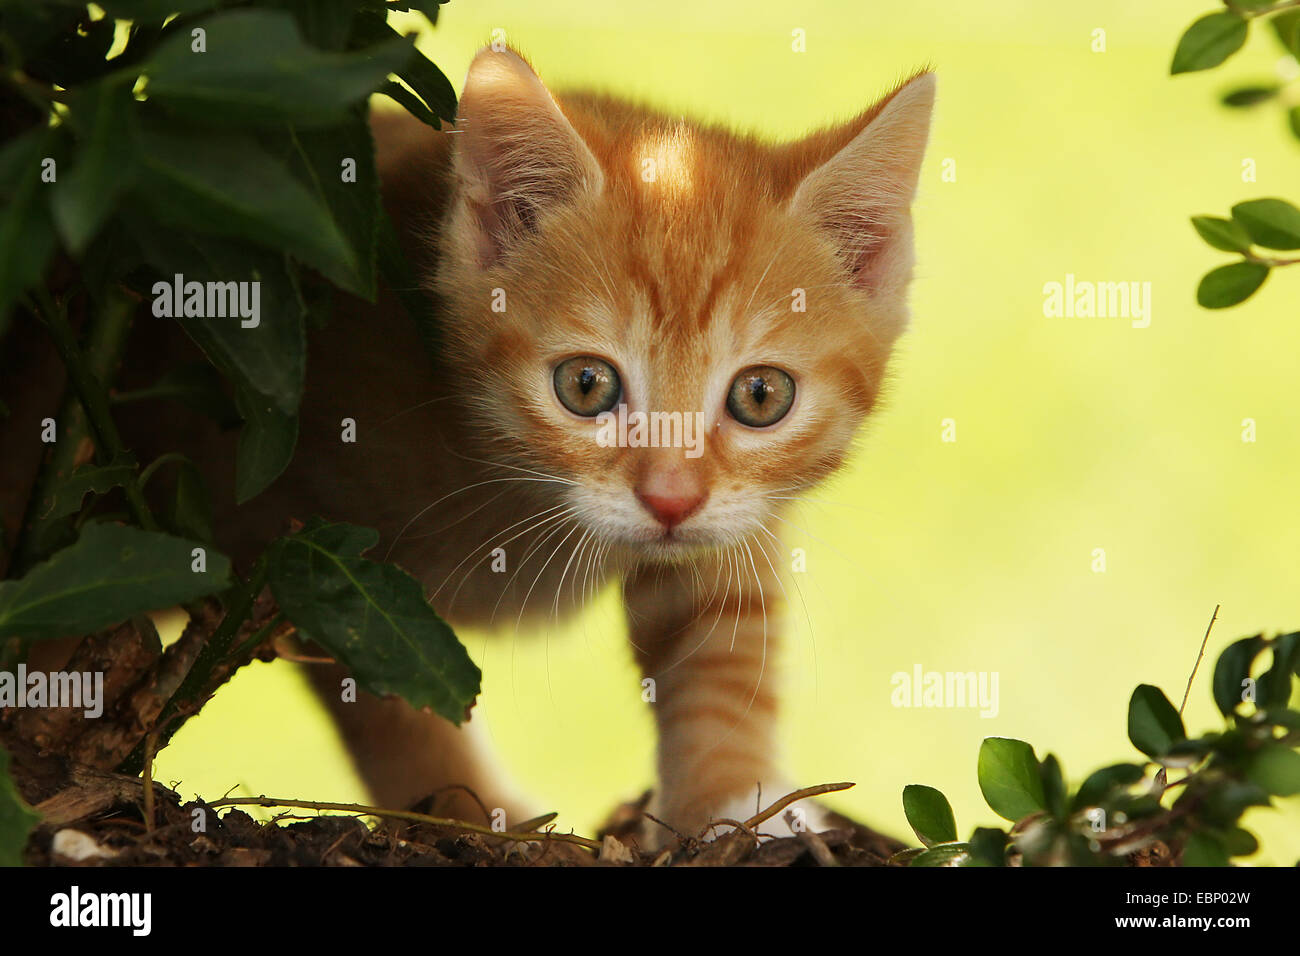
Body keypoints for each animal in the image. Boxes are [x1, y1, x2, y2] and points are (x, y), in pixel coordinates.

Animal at [126, 48, 935, 848]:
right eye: (586, 385)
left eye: (760, 396)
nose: (670, 499)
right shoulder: (299, 545)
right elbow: (380, 681)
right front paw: (471, 814)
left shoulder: (729, 520)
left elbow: (721, 640)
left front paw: (735, 804)